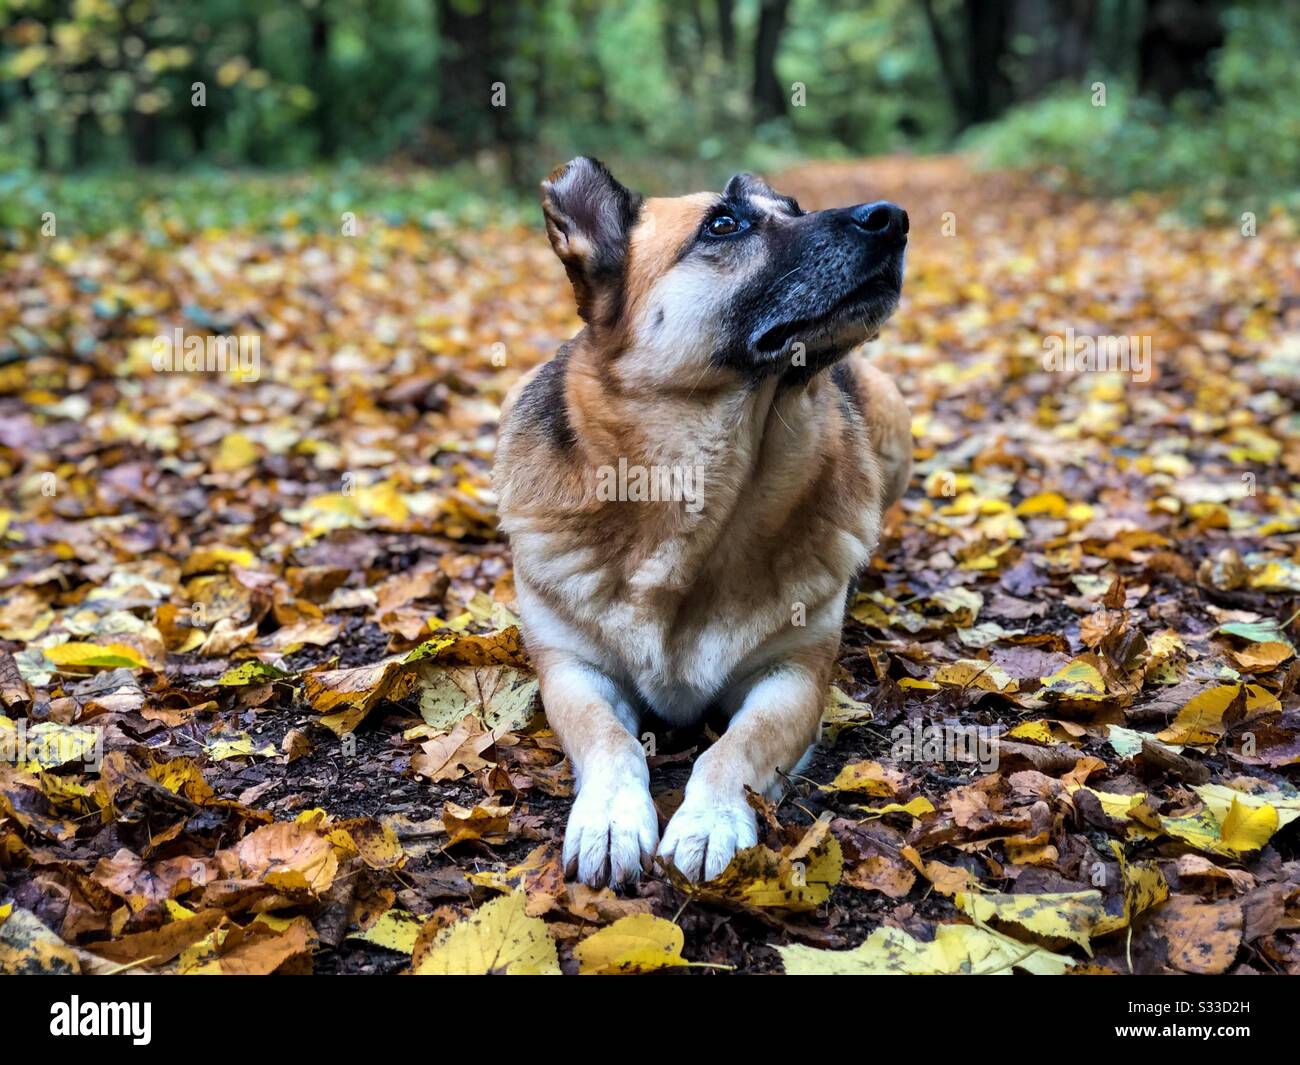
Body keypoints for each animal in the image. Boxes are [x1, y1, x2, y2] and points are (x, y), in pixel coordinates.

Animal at [491, 157, 909, 889]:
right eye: (723, 224)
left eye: (795, 208)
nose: (893, 217)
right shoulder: (570, 670)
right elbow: (610, 737)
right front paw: (610, 814)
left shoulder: (795, 676)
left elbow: (731, 750)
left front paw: (711, 817)